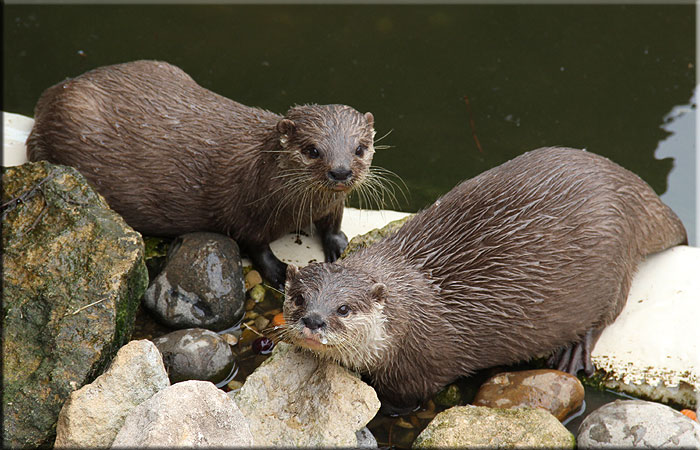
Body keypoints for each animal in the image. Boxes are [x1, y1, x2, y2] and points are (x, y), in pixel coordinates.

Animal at [26, 60, 378, 288]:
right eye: (312, 150)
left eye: (360, 148)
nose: (341, 171)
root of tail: (54, 93)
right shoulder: (244, 210)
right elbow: (254, 244)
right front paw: (280, 272)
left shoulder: (331, 205)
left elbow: (333, 221)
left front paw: (339, 245)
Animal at [282, 147, 687, 411]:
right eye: (300, 298)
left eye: (344, 308)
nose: (314, 320)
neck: (410, 314)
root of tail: (626, 186)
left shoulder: (417, 373)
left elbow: (399, 403)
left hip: (615, 259)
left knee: (607, 313)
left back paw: (572, 353)